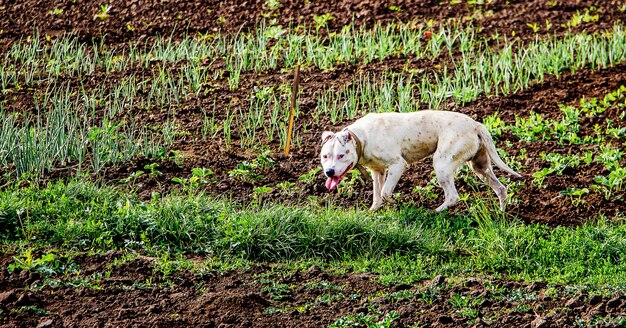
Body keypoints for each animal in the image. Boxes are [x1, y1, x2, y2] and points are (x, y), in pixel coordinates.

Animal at [320, 111, 520, 213]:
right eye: (325, 157)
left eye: (341, 155)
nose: (329, 172)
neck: (361, 138)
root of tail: (476, 124)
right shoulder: (377, 171)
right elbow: (377, 194)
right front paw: (373, 211)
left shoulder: (397, 165)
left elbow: (385, 192)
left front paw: (395, 204)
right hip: (480, 167)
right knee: (501, 188)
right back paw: (501, 213)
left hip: (441, 164)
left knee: (452, 196)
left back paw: (435, 212)